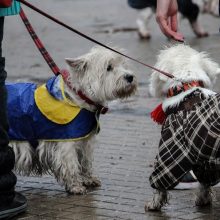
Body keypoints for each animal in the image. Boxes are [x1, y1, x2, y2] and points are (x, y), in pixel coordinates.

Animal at [7, 46, 137, 194]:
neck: (80, 99)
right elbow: (71, 164)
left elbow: (85, 161)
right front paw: (75, 186)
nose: (130, 77)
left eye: (123, 65)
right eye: (109, 67)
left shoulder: (86, 140)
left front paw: (89, 179)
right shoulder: (66, 141)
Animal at [146, 43, 220, 211]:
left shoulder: (172, 147)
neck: (187, 89)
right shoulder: (204, 158)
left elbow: (161, 181)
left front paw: (154, 203)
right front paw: (203, 200)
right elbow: (205, 182)